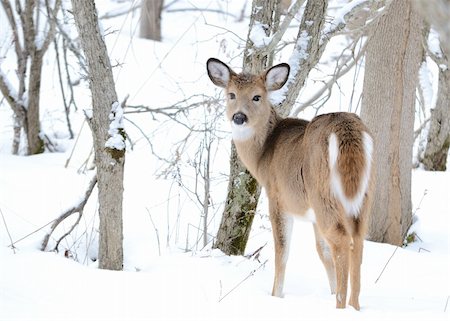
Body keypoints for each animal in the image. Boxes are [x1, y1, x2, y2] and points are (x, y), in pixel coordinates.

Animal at [207, 58, 376, 310]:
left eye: (257, 96)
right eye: (231, 94)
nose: (238, 117)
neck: (264, 154)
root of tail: (347, 132)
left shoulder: (278, 198)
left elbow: (282, 251)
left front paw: (276, 296)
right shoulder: (312, 215)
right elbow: (322, 251)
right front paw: (331, 290)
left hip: (323, 192)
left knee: (341, 239)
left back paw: (341, 306)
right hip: (364, 194)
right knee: (357, 238)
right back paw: (354, 306)